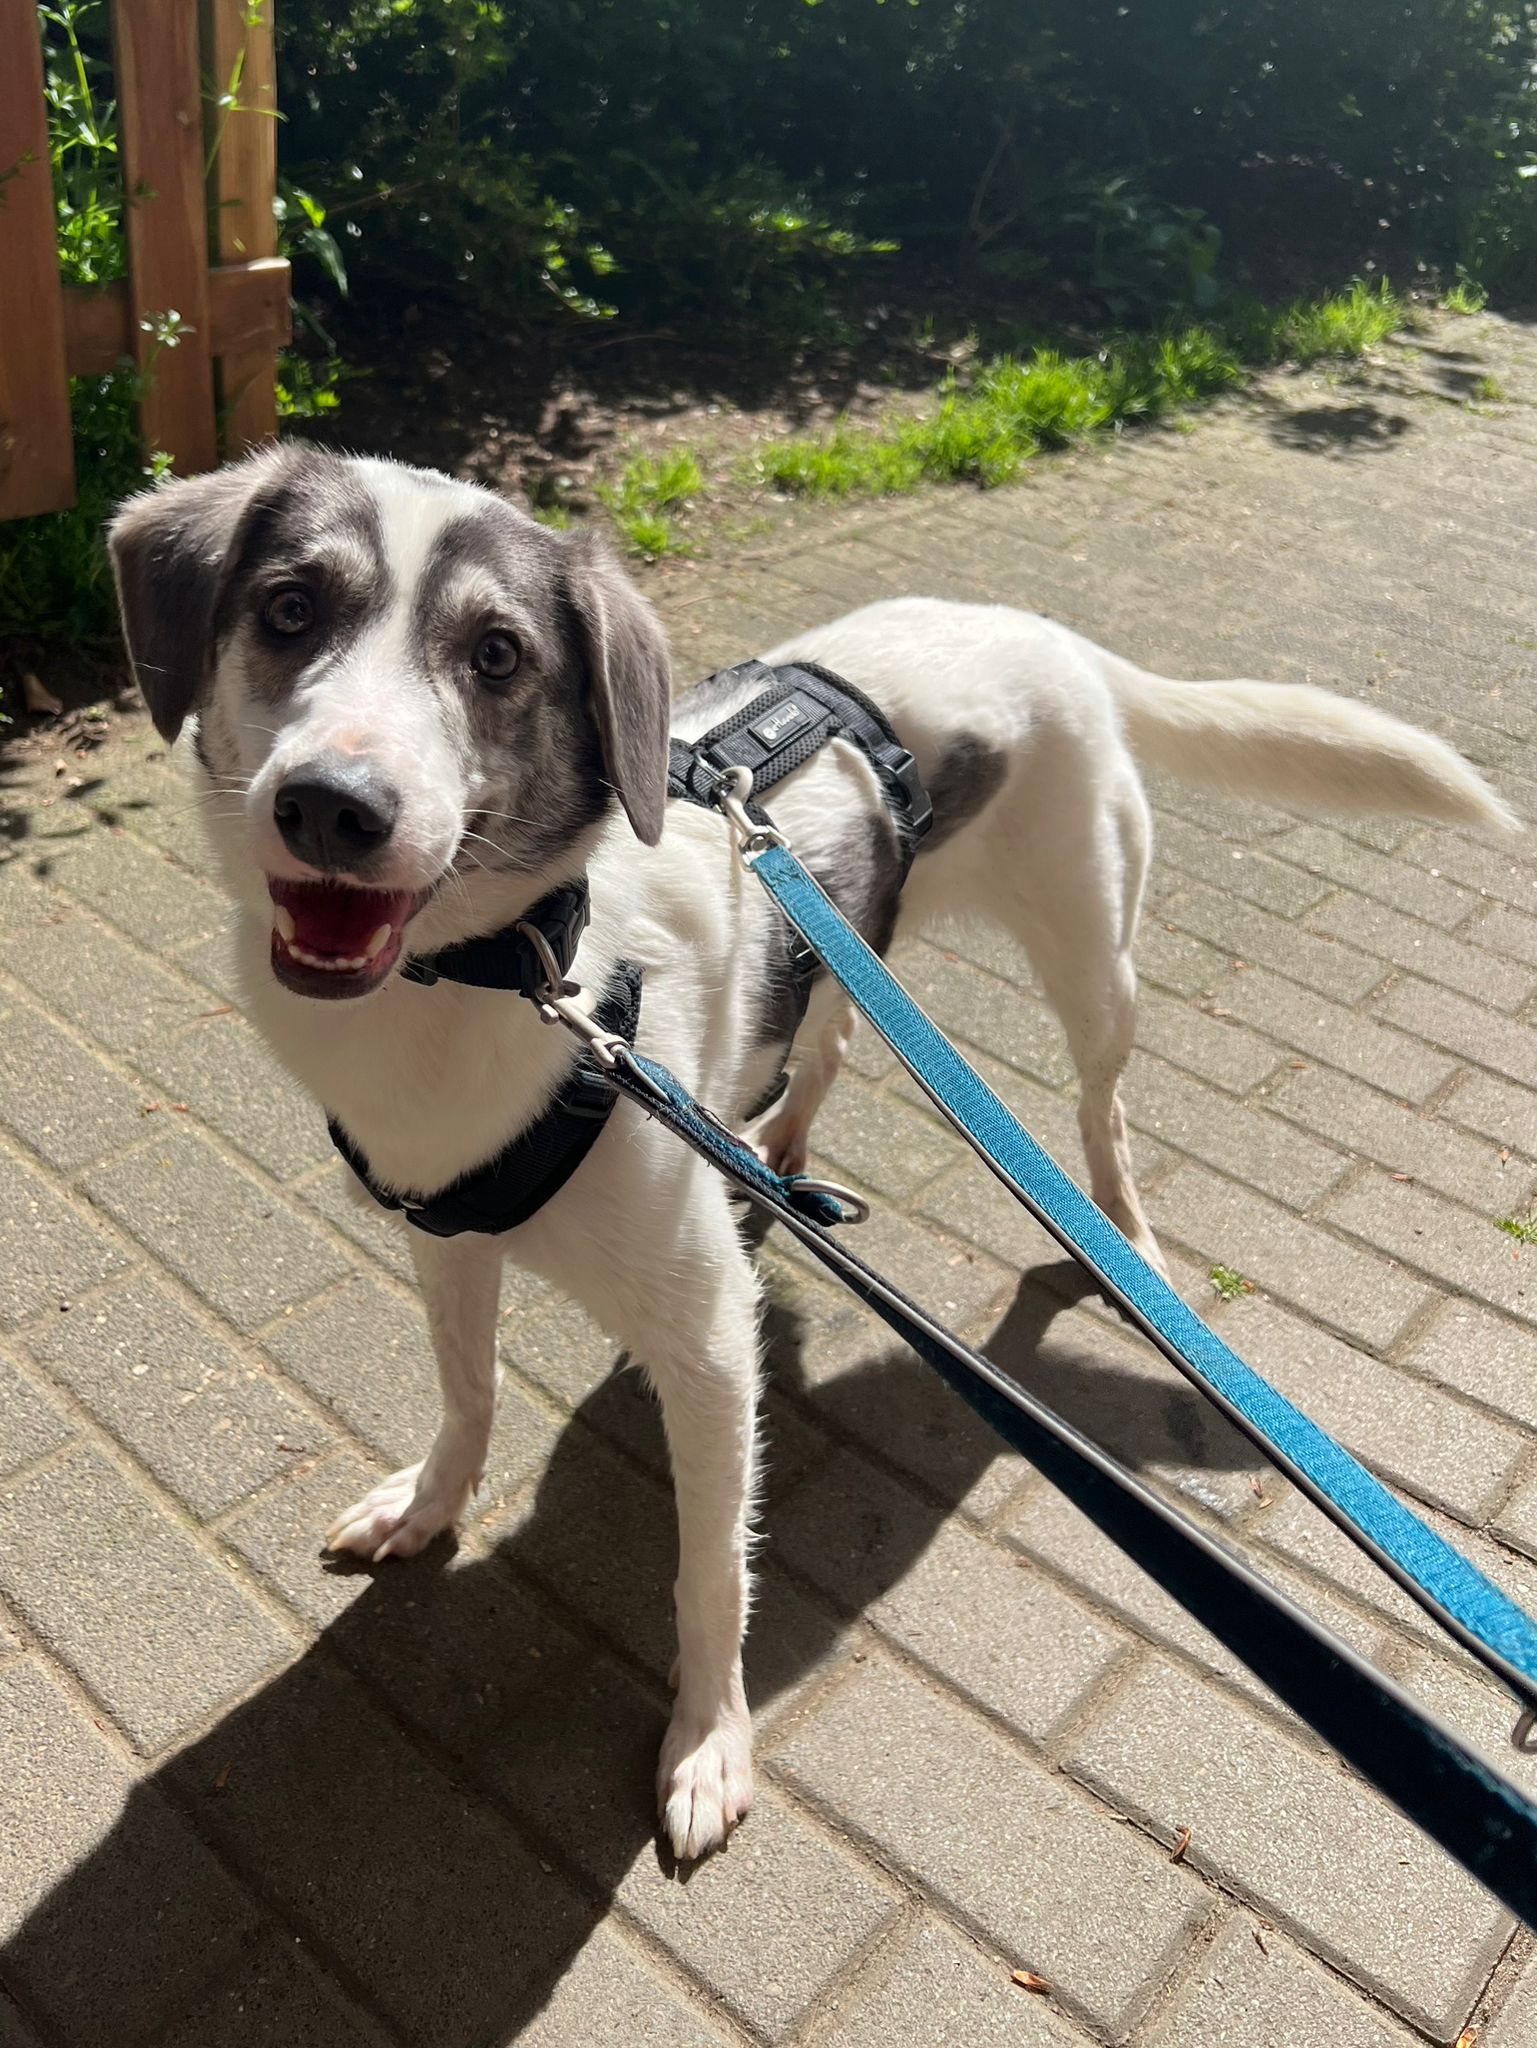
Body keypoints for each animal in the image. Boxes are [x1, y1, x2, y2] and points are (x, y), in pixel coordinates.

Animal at [108, 443, 1515, 1859]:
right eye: (289, 608)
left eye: (498, 653)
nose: (330, 807)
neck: (524, 972)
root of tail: (1042, 630)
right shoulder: (443, 1229)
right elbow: (468, 1394)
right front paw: (429, 1504)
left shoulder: (704, 1345)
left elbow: (706, 1570)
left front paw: (708, 1740)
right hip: (852, 944)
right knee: (828, 1039)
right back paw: (768, 1144)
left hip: (1091, 962)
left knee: (1100, 1108)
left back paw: (1119, 1238)